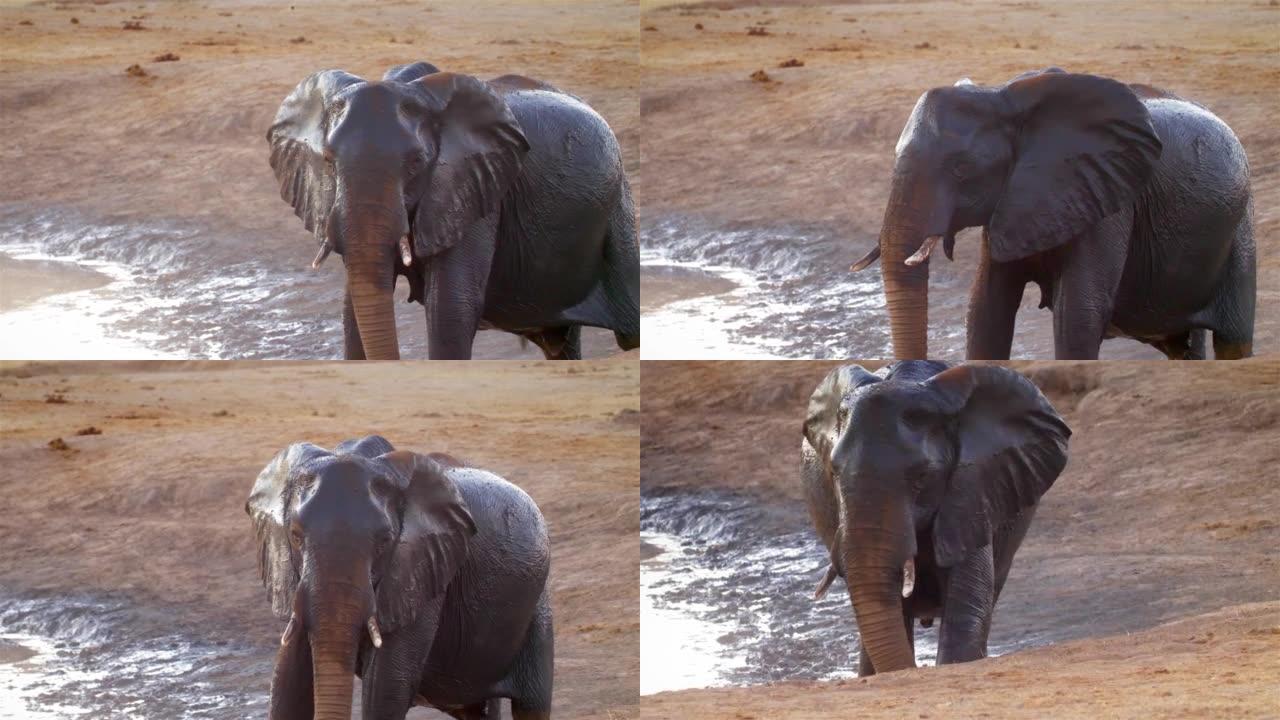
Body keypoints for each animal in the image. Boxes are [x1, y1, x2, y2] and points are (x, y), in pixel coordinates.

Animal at [247, 435, 552, 717]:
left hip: (537, 612)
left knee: (532, 705)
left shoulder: (422, 572)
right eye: (295, 536)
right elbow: (287, 680)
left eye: (384, 541)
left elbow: (386, 689)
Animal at [267, 63, 637, 358]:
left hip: (619, 206)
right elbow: (352, 314)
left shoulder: (475, 190)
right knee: (560, 343)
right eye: (329, 161)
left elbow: (449, 309)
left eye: (416, 162)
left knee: (630, 334)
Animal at [855, 67, 1254, 358]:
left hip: (1241, 231)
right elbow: (986, 311)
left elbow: (1077, 316)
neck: (1004, 96)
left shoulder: (1108, 199)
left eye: (961, 169)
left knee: (1233, 341)